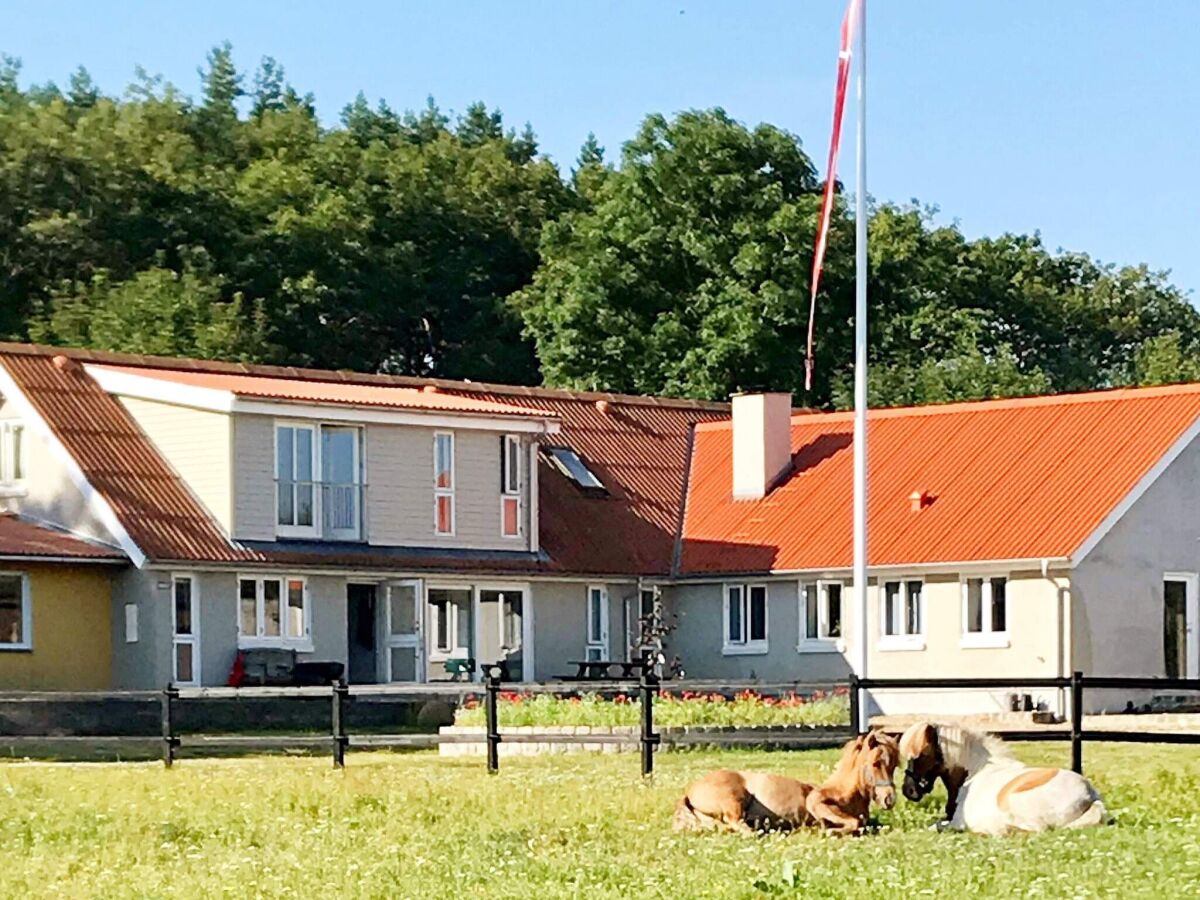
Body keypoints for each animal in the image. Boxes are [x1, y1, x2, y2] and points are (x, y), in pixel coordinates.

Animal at [672, 734, 897, 840]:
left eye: (894, 765)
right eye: (876, 763)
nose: (889, 798)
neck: (843, 792)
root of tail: (689, 791)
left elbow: (865, 823)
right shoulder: (816, 804)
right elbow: (854, 823)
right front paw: (828, 831)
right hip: (733, 799)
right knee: (735, 822)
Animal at [902, 724, 1104, 835]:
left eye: (921, 754)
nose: (908, 790)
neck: (975, 772)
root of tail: (1089, 795)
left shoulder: (955, 822)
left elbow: (935, 825)